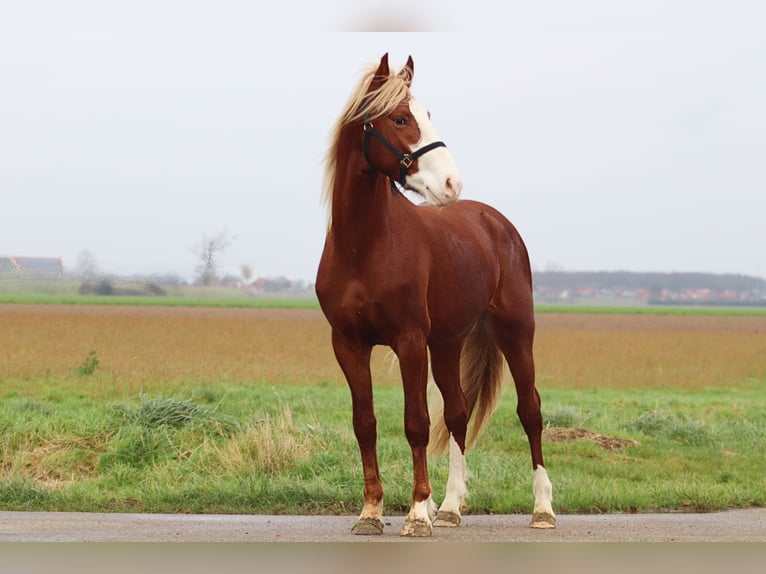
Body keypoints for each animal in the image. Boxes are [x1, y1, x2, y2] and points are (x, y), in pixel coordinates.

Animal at [316, 51, 556, 536]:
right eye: (400, 117)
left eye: (427, 114)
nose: (451, 184)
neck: (363, 247)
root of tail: (494, 221)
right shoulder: (348, 344)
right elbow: (365, 423)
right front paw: (371, 513)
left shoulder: (409, 341)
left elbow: (416, 423)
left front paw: (415, 513)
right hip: (447, 343)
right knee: (459, 412)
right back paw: (449, 508)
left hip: (515, 332)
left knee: (530, 410)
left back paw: (542, 509)